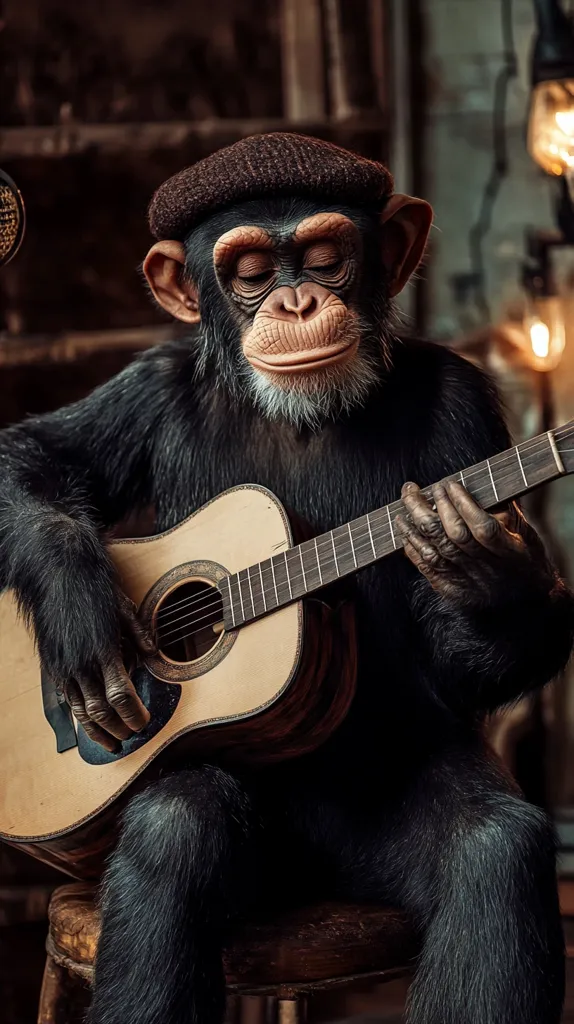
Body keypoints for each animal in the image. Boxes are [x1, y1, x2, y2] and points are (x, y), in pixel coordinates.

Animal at [0, 134, 572, 1024]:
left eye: (327, 259)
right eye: (249, 273)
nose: (297, 301)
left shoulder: (467, 411)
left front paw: (487, 572)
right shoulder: (153, 378)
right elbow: (32, 455)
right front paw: (83, 624)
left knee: (495, 851)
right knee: (175, 827)